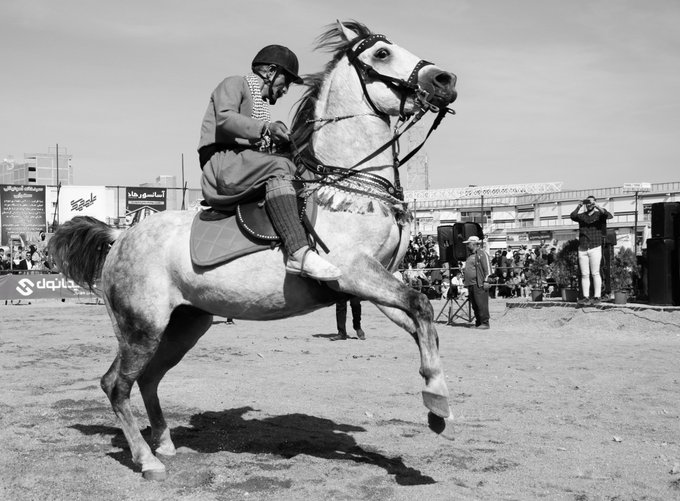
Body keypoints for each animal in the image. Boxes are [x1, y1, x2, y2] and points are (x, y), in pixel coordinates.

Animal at [49, 20, 458, 480]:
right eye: (382, 54)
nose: (446, 80)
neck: (348, 186)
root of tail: (120, 238)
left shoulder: (371, 284)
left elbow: (420, 319)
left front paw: (435, 397)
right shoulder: (356, 273)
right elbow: (422, 303)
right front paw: (436, 398)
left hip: (185, 325)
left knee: (149, 379)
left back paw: (165, 443)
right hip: (142, 328)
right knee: (116, 384)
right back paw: (146, 459)